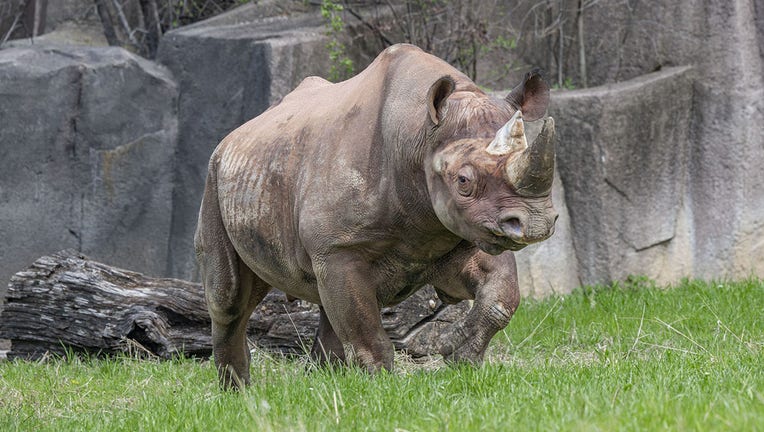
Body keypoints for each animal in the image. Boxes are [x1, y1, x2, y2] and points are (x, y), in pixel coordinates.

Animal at [195, 44, 557, 388]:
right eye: (463, 181)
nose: (536, 223)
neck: (418, 135)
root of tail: (233, 136)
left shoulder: (467, 232)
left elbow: (502, 297)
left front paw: (457, 353)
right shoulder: (339, 248)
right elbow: (367, 336)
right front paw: (382, 386)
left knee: (324, 305)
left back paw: (321, 382)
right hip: (213, 178)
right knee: (229, 299)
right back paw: (239, 393)